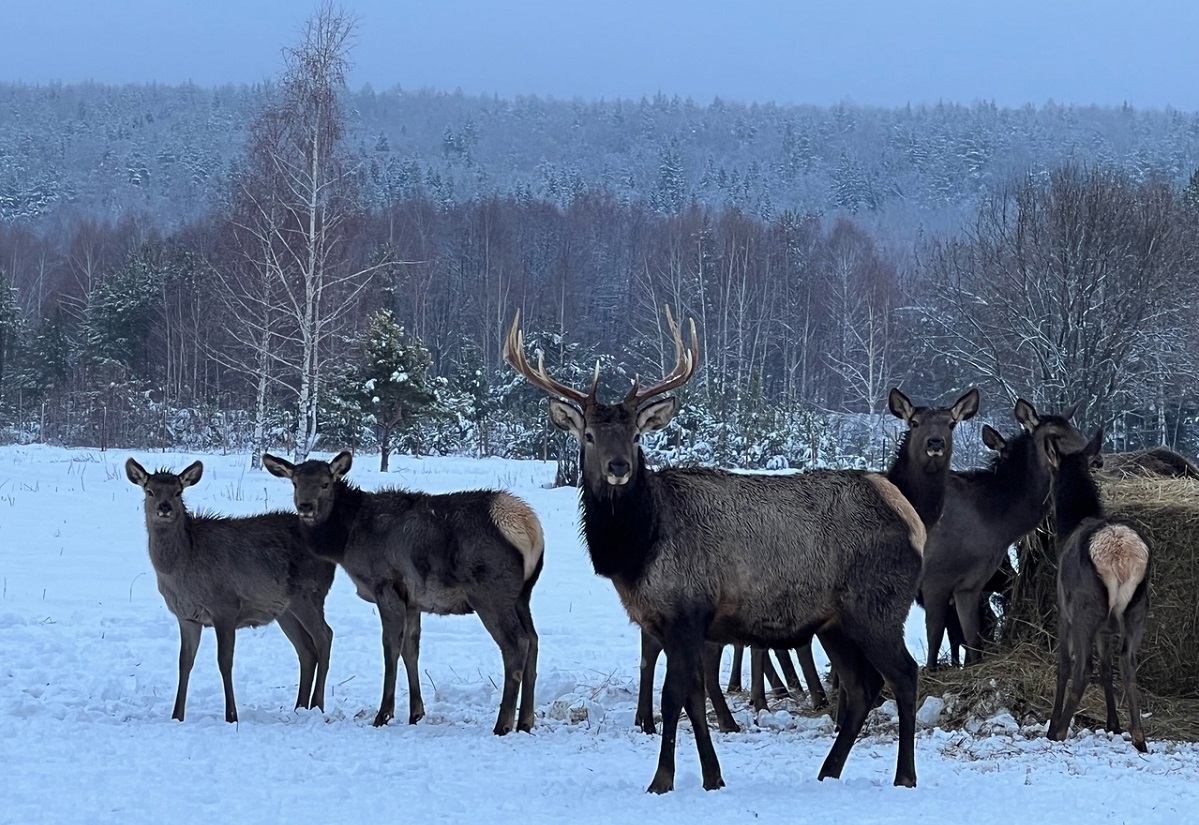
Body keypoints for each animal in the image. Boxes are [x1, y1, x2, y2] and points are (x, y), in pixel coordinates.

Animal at [125, 458, 335, 719]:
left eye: (178, 491)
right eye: (149, 490)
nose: (164, 508)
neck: (181, 567)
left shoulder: (225, 607)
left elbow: (224, 661)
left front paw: (231, 715)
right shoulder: (186, 616)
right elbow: (185, 662)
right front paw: (177, 715)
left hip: (309, 594)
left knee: (325, 637)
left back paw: (317, 705)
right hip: (285, 610)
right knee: (306, 651)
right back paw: (299, 708)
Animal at [267, 450, 544, 733]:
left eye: (325, 483)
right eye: (295, 483)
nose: (306, 507)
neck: (345, 541)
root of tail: (531, 530)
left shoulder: (386, 587)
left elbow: (390, 648)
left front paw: (383, 714)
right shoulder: (413, 601)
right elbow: (411, 649)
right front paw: (416, 713)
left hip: (490, 593)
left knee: (516, 643)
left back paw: (503, 724)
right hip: (522, 595)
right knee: (533, 640)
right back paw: (525, 721)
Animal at [505, 306, 925, 791]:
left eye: (636, 435)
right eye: (588, 435)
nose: (619, 467)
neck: (638, 550)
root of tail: (911, 518)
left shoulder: (688, 612)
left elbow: (674, 699)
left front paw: (661, 780)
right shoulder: (667, 622)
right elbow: (693, 699)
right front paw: (712, 777)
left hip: (878, 606)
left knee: (904, 675)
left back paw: (904, 776)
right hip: (834, 622)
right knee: (863, 688)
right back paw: (828, 772)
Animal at [916, 400, 1088, 671]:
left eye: (1075, 429)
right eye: (1055, 435)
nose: (1097, 457)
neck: (994, 525)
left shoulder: (971, 584)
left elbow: (973, 636)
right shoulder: (934, 578)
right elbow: (935, 637)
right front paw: (932, 672)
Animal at [1050, 429, 1151, 753]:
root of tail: (1121, 556)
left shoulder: (1063, 611)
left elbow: (1064, 665)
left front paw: (1051, 724)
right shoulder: (1105, 629)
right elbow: (1107, 668)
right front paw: (1113, 724)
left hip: (1085, 606)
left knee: (1083, 667)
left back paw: (1059, 730)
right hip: (1136, 609)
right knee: (1127, 662)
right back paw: (1139, 736)